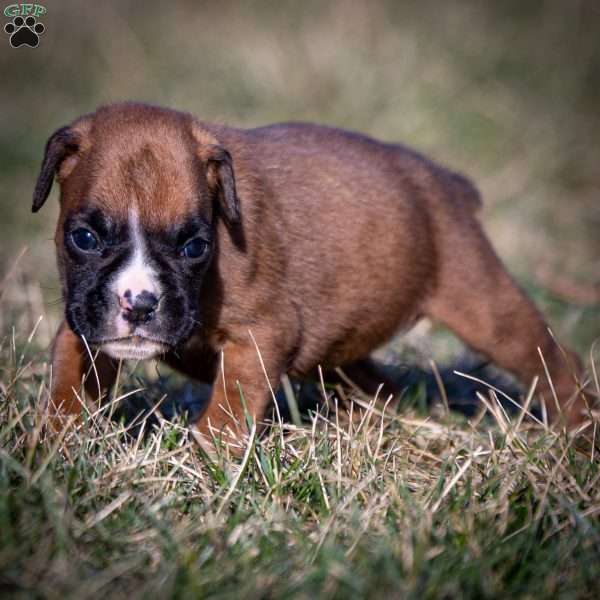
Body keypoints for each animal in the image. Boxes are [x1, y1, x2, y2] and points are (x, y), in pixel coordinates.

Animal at [31, 102, 584, 446]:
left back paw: (578, 430)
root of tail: (446, 182)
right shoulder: (82, 323)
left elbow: (228, 406)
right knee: (378, 384)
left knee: (554, 361)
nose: (140, 304)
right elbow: (67, 382)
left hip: (486, 308)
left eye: (195, 246)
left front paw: (209, 457)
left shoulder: (260, 336)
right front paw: (53, 444)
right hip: (337, 351)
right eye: (84, 238)